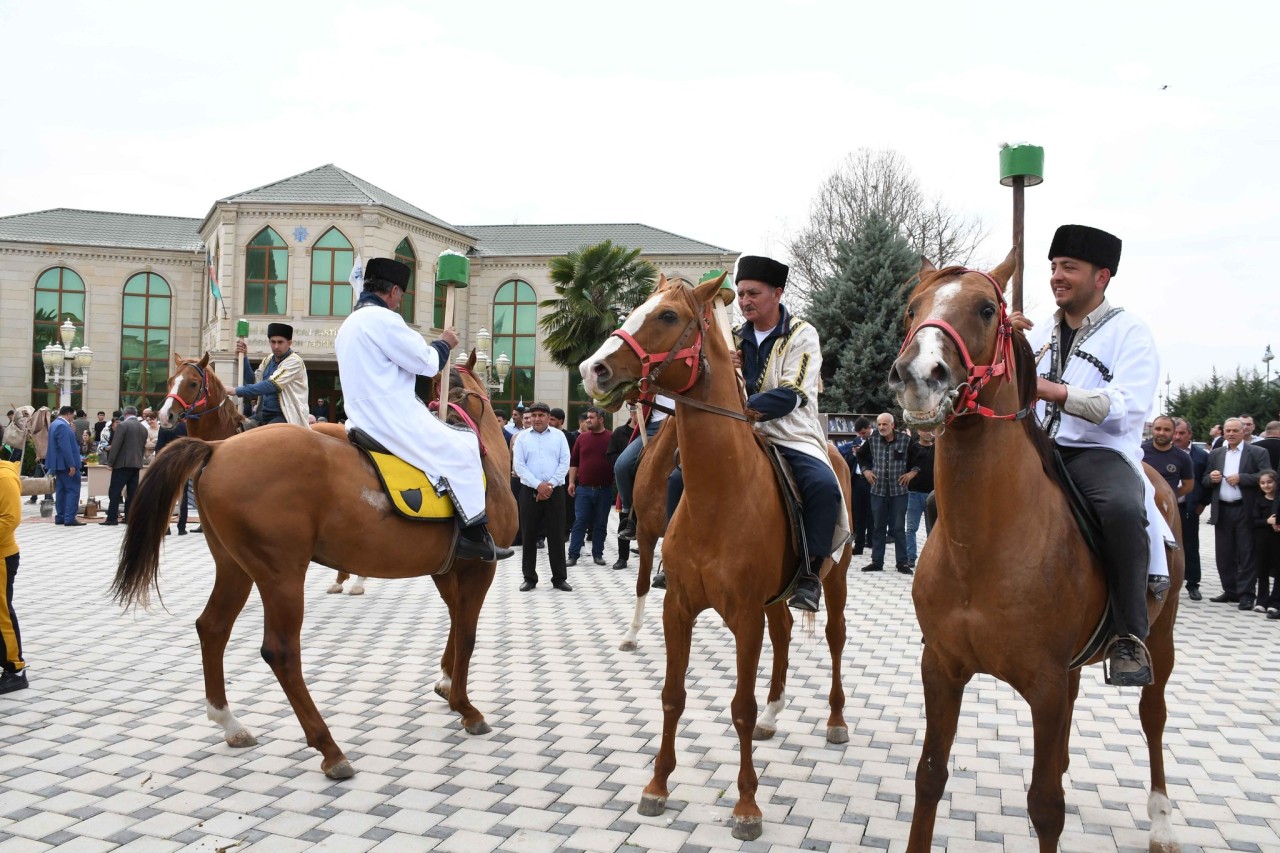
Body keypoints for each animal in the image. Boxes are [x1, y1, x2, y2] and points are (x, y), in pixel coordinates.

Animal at [112, 356, 517, 778]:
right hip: (282, 575)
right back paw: (329, 747)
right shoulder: (479, 569)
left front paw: (447, 680)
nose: (167, 415)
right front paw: (465, 706)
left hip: (235, 567)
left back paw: (230, 722)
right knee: (281, 651)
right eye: (175, 382)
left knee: (212, 628)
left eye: (192, 383)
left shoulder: (447, 570)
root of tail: (217, 448)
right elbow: (467, 634)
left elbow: (455, 620)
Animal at [586, 275, 855, 840]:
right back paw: (776, 714)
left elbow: (740, 708)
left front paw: (747, 805)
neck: (721, 493)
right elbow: (672, 695)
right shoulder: (679, 609)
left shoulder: (745, 618)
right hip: (774, 598)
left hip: (835, 579)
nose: (592, 369)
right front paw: (656, 786)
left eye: (667, 316)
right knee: (785, 634)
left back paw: (836, 721)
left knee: (835, 638)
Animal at [890, 253, 1177, 850]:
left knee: (1154, 717)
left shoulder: (1044, 688)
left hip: (1159, 643)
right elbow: (930, 777)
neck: (981, 548)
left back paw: (1161, 820)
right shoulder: (941, 669)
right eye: (912, 308)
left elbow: (1046, 805)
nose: (916, 376)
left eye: (984, 308)